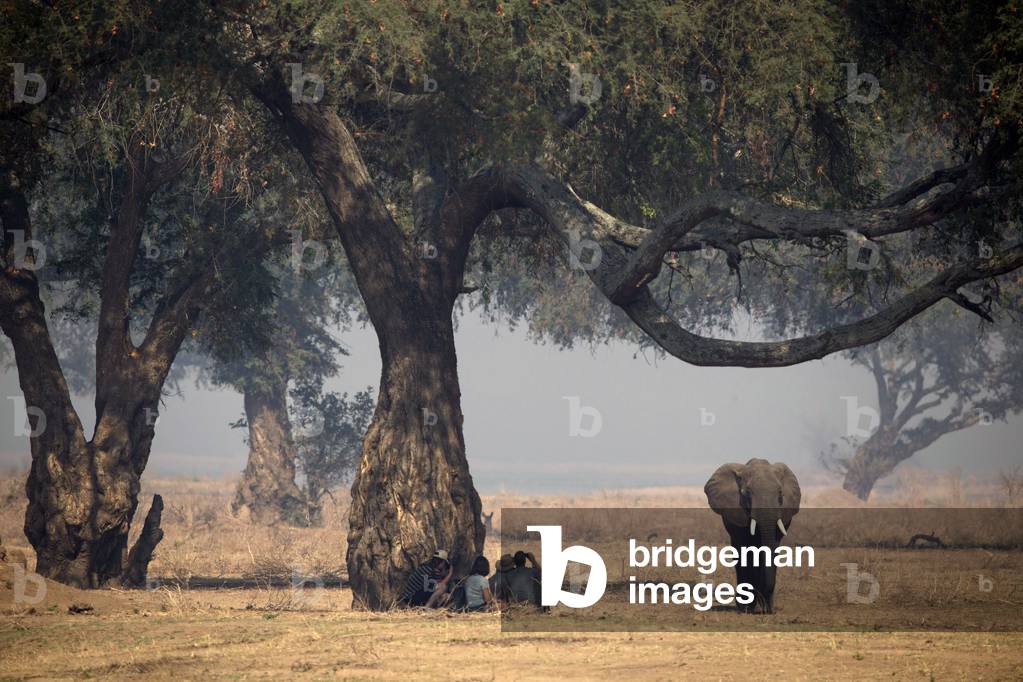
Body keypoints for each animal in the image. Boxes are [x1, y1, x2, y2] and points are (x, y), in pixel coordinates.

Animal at [704, 458, 801, 614]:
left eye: (780, 493)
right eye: (747, 493)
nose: (769, 609)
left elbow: (772, 548)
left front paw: (768, 609)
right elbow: (746, 550)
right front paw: (747, 608)